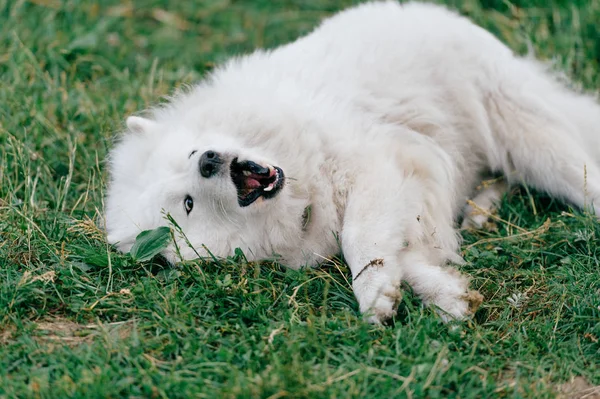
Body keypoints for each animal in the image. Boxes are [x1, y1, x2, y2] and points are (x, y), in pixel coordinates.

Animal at [104, 1, 600, 324]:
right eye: (188, 203)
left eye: (191, 156)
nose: (209, 159)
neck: (302, 186)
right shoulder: (405, 190)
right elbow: (404, 256)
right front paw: (437, 297)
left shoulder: (378, 166)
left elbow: (358, 237)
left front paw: (375, 289)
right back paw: (480, 211)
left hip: (527, 136)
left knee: (580, 176)